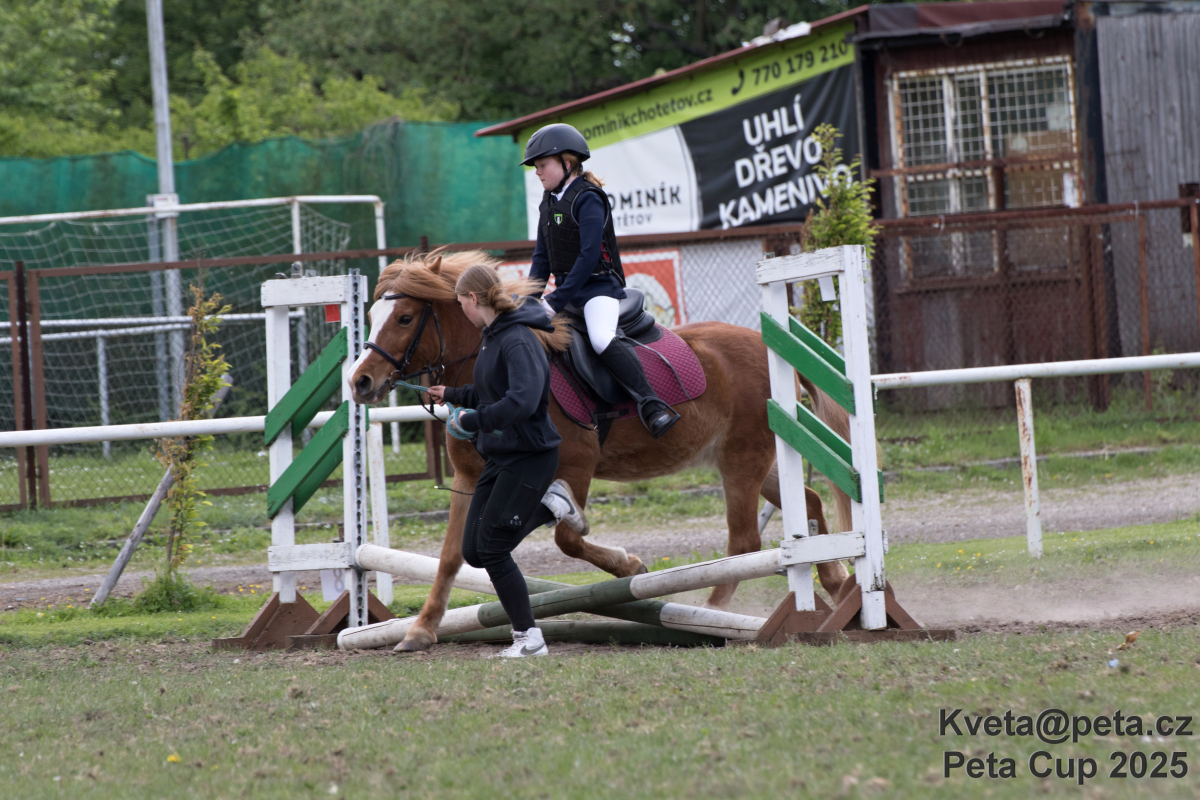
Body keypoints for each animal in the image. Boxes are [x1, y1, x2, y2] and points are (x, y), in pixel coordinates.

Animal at [349, 250, 855, 651]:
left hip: (741, 460)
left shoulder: (577, 464)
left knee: (744, 541)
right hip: (753, 460)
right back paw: (837, 586)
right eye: (372, 316)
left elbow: (567, 539)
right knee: (808, 503)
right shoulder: (470, 479)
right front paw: (421, 628)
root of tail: (765, 345)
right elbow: (453, 556)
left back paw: (713, 617)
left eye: (405, 318)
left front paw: (627, 564)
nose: (360, 382)